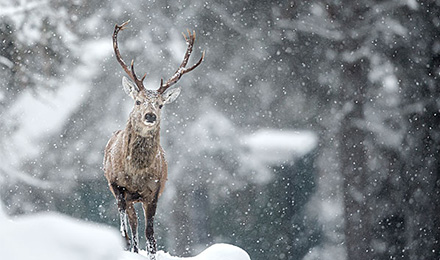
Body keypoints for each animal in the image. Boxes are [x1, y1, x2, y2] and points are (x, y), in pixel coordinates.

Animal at [103, 20, 205, 258]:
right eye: (138, 101)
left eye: (160, 105)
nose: (150, 116)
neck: (135, 174)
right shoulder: (117, 184)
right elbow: (124, 219)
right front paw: (125, 238)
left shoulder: (154, 192)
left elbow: (150, 233)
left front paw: (151, 253)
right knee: (131, 222)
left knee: (138, 226)